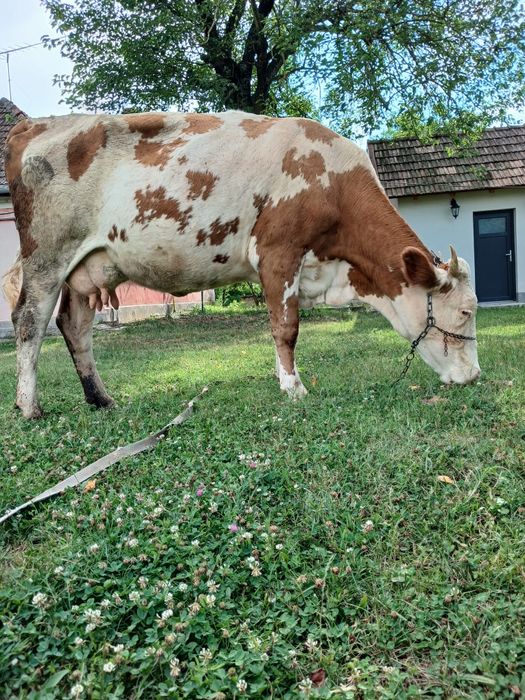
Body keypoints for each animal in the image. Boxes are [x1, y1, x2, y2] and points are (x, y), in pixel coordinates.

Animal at [2, 110, 480, 419]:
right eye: (464, 311)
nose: (474, 376)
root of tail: (35, 124)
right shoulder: (278, 250)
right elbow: (286, 328)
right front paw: (293, 388)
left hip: (87, 267)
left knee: (74, 325)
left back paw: (101, 399)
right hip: (46, 255)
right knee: (29, 321)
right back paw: (29, 406)